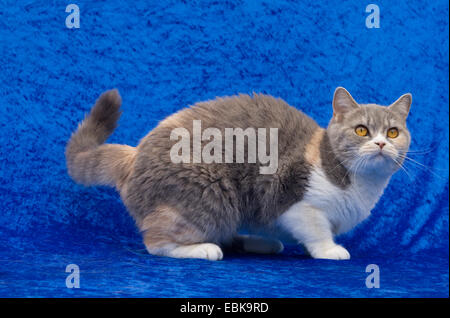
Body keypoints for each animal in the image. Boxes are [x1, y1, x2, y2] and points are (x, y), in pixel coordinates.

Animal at [66, 85, 412, 260]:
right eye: (361, 130)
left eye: (393, 132)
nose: (381, 143)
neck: (361, 185)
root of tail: (134, 154)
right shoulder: (298, 204)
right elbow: (316, 230)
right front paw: (329, 250)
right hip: (209, 196)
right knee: (156, 241)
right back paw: (204, 249)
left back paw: (258, 243)